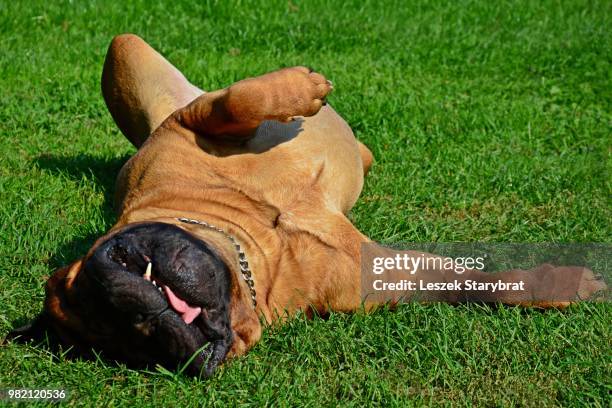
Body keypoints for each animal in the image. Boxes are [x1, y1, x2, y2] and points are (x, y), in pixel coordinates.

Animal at [5, 34, 608, 376]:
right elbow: (467, 281)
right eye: (134, 345)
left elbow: (238, 101)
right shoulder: (375, 278)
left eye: (120, 265)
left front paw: (299, 88)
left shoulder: (183, 129)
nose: (136, 310)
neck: (256, 247)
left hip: (132, 63)